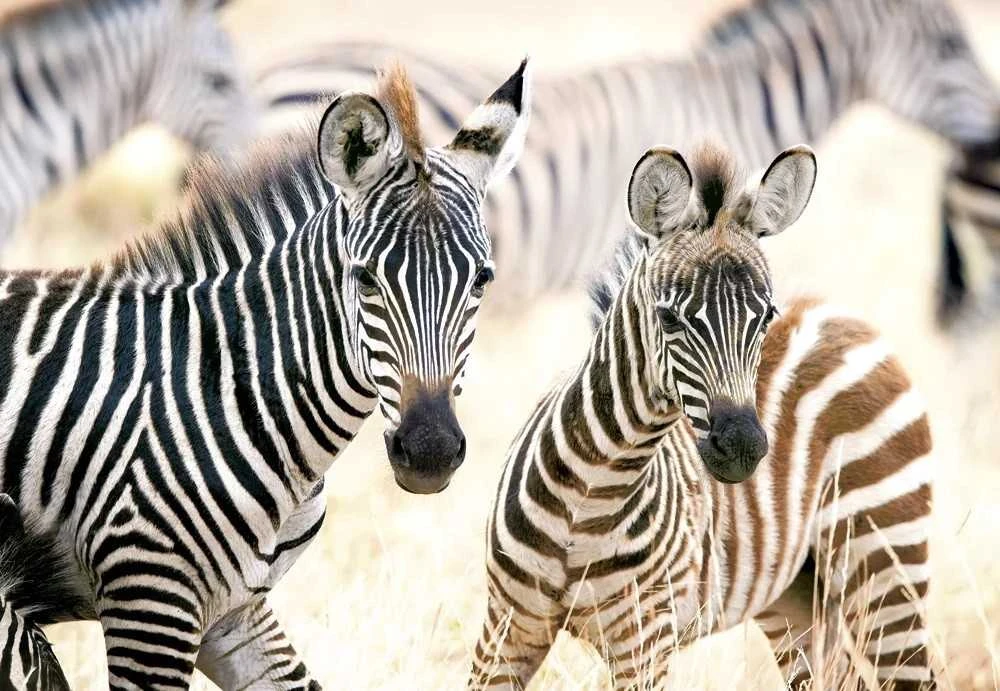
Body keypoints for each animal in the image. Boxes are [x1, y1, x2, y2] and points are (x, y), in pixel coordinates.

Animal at [0, 59, 531, 688]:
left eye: (481, 280)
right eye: (365, 278)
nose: (429, 451)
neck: (229, 386)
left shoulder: (234, 613)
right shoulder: (148, 601)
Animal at [470, 144, 934, 690]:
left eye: (766, 316)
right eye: (669, 318)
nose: (743, 448)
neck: (591, 495)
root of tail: (843, 317)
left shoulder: (644, 645)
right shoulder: (506, 629)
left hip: (887, 561)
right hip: (798, 598)